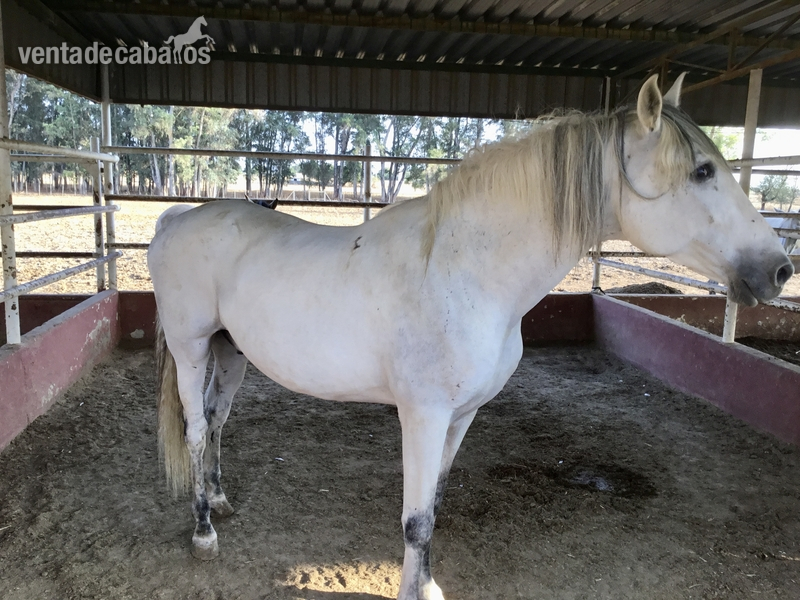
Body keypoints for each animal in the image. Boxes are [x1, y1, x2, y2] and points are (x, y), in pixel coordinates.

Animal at [147, 74, 793, 600]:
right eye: (702, 170)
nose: (781, 270)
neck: (466, 271)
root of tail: (176, 217)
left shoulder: (463, 415)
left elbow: (432, 504)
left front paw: (426, 584)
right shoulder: (423, 416)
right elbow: (416, 520)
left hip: (232, 351)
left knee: (217, 419)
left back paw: (220, 499)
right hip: (191, 348)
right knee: (197, 430)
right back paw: (203, 531)